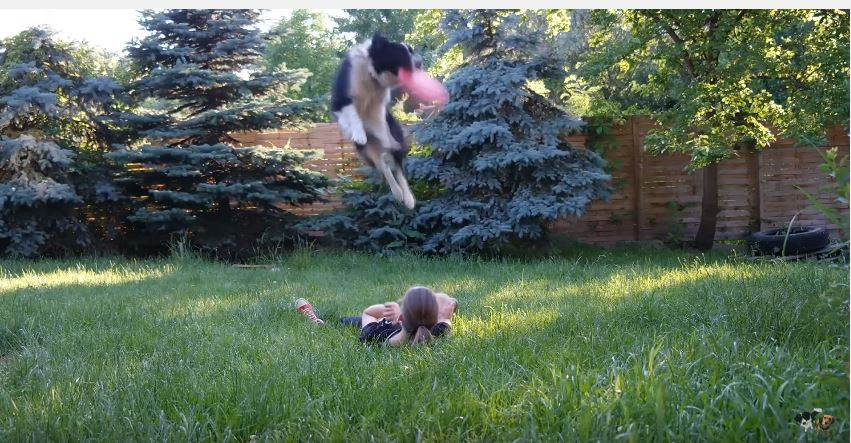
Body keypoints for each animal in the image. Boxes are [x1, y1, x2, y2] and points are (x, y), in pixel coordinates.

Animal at [332, 33, 422, 210]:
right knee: (383, 165)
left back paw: (407, 197)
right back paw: (397, 192)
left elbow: (380, 123)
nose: (420, 62)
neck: (372, 74)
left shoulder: (379, 108)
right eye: (402, 54)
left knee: (397, 168)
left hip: (393, 136)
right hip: (366, 152)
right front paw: (359, 133)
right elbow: (353, 114)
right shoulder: (341, 99)